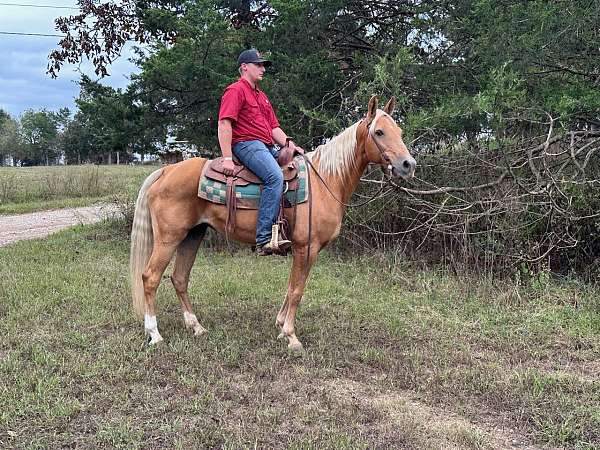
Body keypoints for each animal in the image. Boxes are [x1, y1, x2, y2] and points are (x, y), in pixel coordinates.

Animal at [129, 96, 414, 352]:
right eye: (379, 132)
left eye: (399, 132)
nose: (408, 164)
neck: (325, 180)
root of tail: (166, 170)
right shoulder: (306, 247)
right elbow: (297, 289)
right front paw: (291, 336)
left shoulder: (303, 250)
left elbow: (291, 287)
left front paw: (280, 327)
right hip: (169, 238)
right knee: (150, 277)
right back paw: (155, 334)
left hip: (192, 235)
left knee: (179, 278)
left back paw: (196, 327)